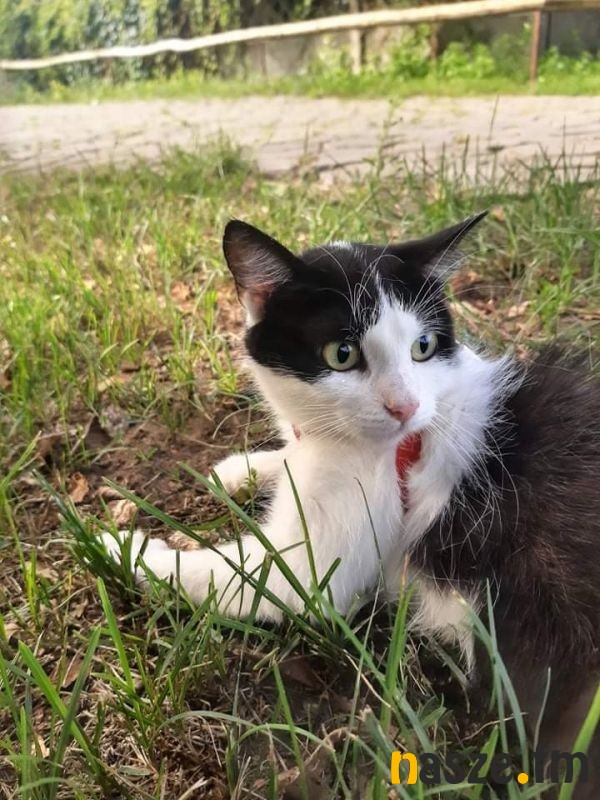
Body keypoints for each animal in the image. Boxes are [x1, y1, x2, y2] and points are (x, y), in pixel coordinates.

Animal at [103, 215, 599, 796]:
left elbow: (242, 575)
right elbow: (290, 457)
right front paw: (243, 469)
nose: (406, 406)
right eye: (342, 354)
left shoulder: (321, 562)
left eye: (423, 346)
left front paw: (123, 549)